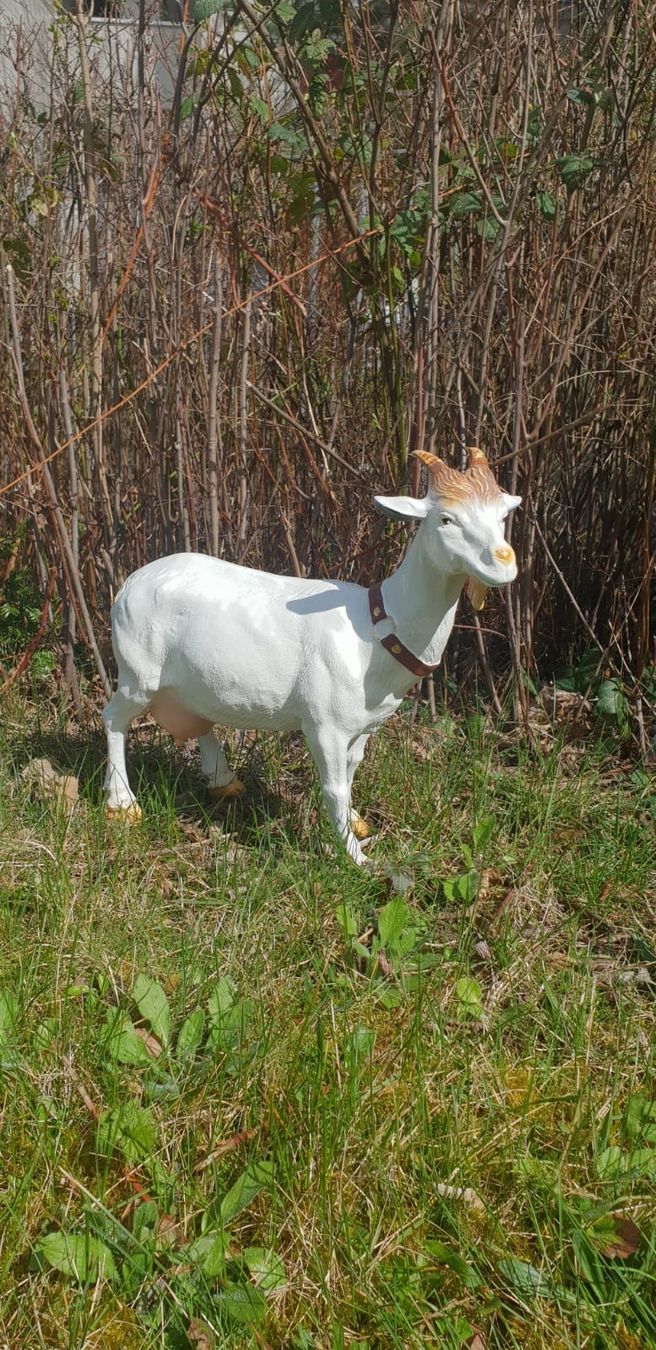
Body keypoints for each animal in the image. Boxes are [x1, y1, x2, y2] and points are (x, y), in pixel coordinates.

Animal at [103, 449, 521, 863]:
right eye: (446, 519)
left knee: (198, 717)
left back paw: (224, 781)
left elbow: (352, 773)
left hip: (189, 680)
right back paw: (122, 805)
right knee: (114, 717)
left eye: (502, 517)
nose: (503, 562)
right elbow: (334, 785)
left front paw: (355, 823)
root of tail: (129, 584)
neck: (375, 629)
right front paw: (354, 858)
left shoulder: (362, 726)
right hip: (138, 670)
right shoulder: (325, 724)